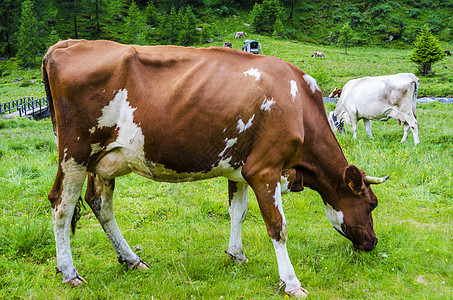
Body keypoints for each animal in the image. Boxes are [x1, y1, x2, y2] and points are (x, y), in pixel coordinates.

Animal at [43, 39, 388, 298]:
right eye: (371, 204)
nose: (372, 243)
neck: (298, 105)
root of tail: (66, 44)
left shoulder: (242, 169)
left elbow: (239, 212)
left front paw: (236, 254)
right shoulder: (265, 169)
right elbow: (278, 226)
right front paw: (291, 282)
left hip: (102, 161)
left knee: (100, 204)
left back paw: (131, 259)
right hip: (75, 153)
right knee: (61, 205)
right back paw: (70, 272)